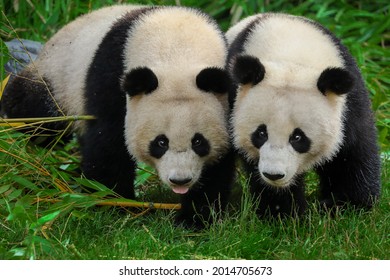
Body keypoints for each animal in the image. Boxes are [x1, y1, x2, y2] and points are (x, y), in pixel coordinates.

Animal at [0, 5, 235, 229]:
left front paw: (195, 217)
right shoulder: (113, 75)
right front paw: (116, 202)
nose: (180, 180)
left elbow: (220, 163)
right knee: (37, 117)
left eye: (199, 142)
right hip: (55, 82)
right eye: (160, 142)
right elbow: (109, 140)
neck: (176, 48)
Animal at [225, 13, 380, 218]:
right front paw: (283, 212)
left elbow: (352, 153)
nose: (274, 175)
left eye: (298, 137)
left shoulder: (351, 102)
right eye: (261, 133)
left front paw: (348, 206)